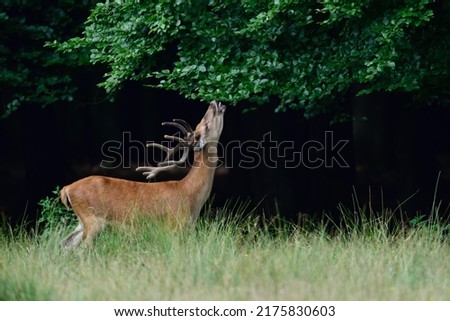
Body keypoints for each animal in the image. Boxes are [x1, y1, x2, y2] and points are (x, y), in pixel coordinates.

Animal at [60, 100, 225, 248]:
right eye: (206, 125)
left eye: (202, 125)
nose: (213, 103)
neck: (190, 194)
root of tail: (67, 189)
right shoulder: (173, 225)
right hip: (93, 219)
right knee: (81, 248)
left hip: (82, 222)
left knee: (66, 243)